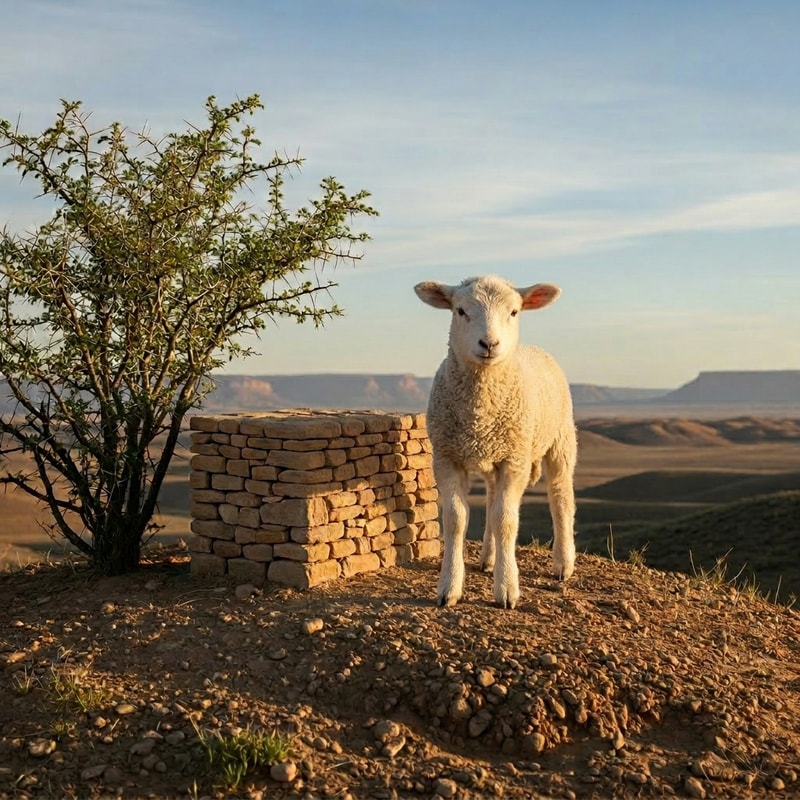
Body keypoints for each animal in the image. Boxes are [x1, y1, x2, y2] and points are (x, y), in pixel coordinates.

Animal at [414, 275, 577, 609]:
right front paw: (449, 587)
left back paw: (563, 563)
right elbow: (456, 519)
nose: (489, 344)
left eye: (514, 312)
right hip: (492, 455)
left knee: (560, 496)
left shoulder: (514, 460)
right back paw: (488, 558)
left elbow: (506, 520)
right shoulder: (446, 457)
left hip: (560, 439)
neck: (481, 408)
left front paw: (506, 589)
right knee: (491, 499)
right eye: (460, 310)